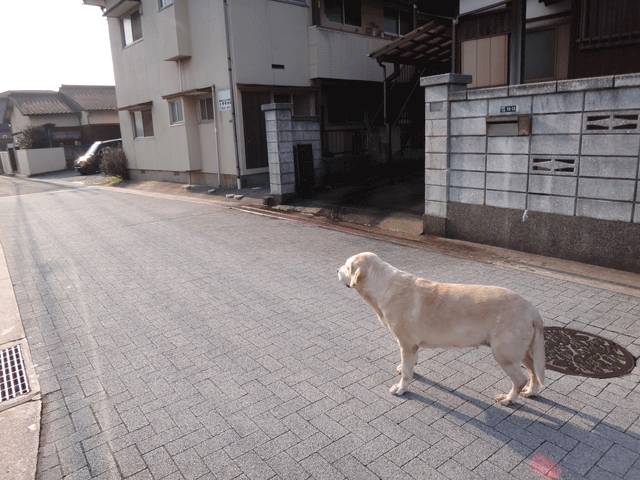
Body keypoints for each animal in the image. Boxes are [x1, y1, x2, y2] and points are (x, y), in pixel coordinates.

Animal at [338, 251, 544, 404]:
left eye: (347, 266)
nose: (337, 270)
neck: (384, 286)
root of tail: (531, 307)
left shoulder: (407, 344)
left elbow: (406, 373)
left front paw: (401, 388)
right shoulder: (412, 347)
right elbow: (409, 366)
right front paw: (405, 369)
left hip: (504, 354)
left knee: (520, 379)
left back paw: (509, 399)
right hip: (520, 351)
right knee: (533, 372)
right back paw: (530, 392)